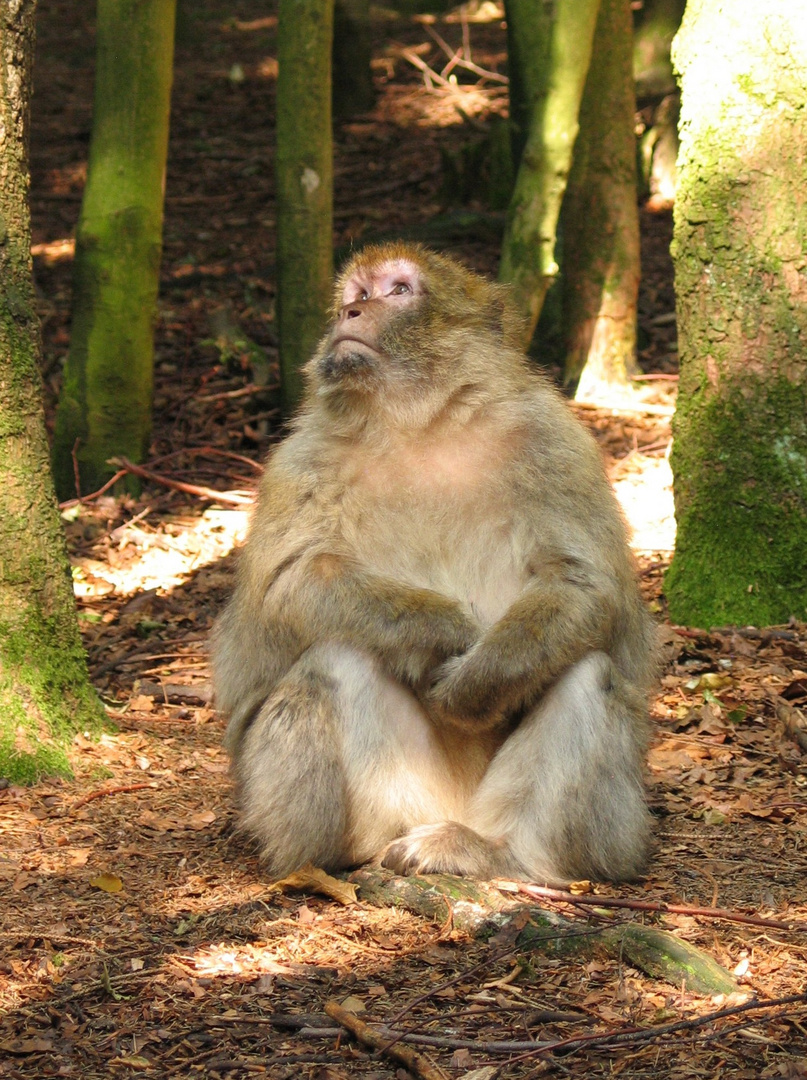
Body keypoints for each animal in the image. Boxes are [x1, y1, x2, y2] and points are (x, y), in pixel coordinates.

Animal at [214, 240, 656, 881]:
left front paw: (477, 678)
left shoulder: (553, 442)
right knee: (334, 661)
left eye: (398, 291)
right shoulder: (299, 461)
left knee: (586, 671)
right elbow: (290, 581)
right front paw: (445, 630)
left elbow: (584, 580)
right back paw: (353, 854)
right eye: (357, 295)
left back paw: (492, 851)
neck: (419, 425)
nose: (350, 314)